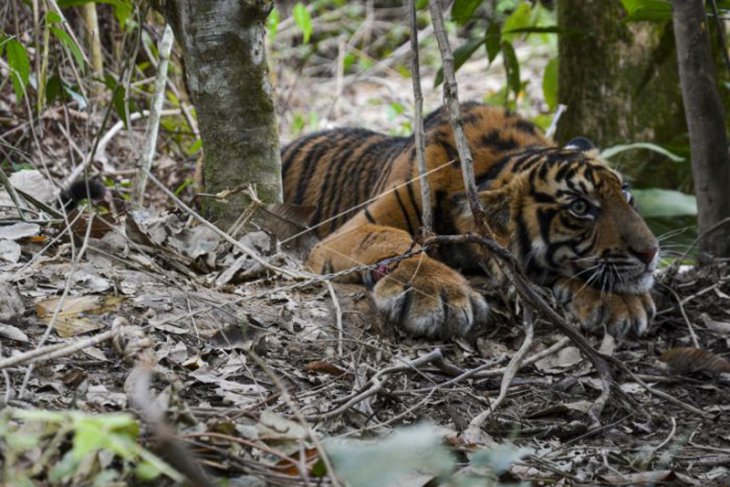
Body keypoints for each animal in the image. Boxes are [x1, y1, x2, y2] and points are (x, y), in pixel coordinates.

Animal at [280, 103, 660, 340]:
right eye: (580, 207)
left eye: (626, 193)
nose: (652, 252)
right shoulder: (353, 229)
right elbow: (391, 239)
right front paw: (439, 294)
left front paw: (622, 303)